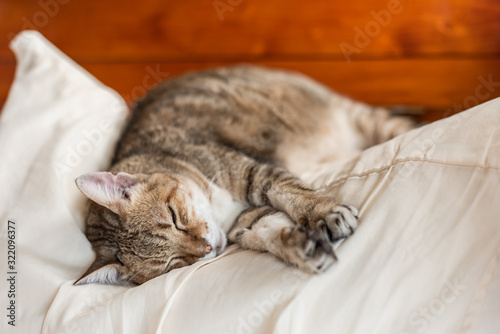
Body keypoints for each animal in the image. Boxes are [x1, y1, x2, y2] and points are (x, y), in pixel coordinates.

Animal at [73, 64, 414, 284]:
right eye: (173, 263)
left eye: (174, 218)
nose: (207, 248)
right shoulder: (247, 219)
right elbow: (270, 231)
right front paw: (303, 247)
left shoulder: (253, 171)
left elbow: (289, 192)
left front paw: (324, 213)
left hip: (365, 119)